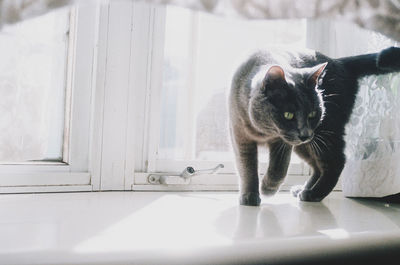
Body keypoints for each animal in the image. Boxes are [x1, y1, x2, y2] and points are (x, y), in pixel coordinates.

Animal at [230, 46, 400, 205]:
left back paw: (313, 194)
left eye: (312, 114)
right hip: (306, 144)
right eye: (288, 115)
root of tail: (339, 62)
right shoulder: (240, 137)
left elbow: (279, 167)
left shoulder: (283, 142)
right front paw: (249, 195)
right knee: (318, 167)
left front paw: (268, 189)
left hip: (326, 131)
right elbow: (247, 168)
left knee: (336, 162)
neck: (263, 132)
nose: (304, 134)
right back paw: (304, 189)